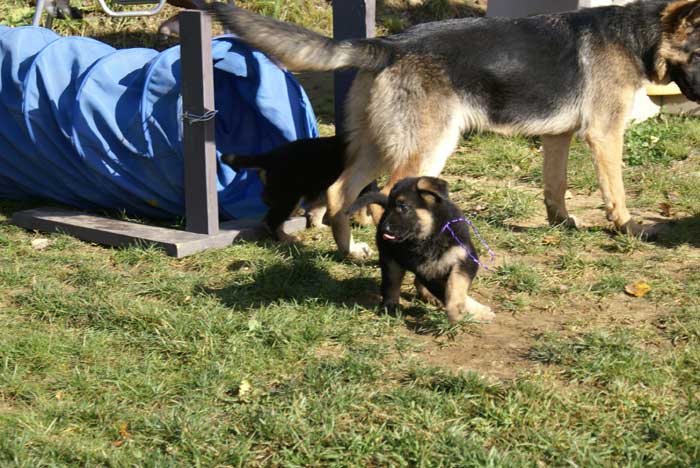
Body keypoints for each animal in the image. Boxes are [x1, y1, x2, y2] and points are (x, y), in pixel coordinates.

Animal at [205, 0, 700, 258]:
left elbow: (555, 186)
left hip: (376, 146)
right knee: (384, 196)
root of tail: (386, 44)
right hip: (429, 147)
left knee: (337, 193)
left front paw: (561, 223)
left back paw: (349, 251)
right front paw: (628, 226)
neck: (634, 34)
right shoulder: (604, 134)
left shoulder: (557, 138)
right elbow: (615, 189)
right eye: (699, 54)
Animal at [348, 176, 492, 326]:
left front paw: (464, 311)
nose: (384, 229)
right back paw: (390, 306)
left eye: (403, 207)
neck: (431, 237)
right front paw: (460, 313)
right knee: (391, 284)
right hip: (391, 260)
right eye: (389, 208)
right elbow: (445, 290)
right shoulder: (426, 271)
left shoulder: (464, 259)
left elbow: (455, 285)